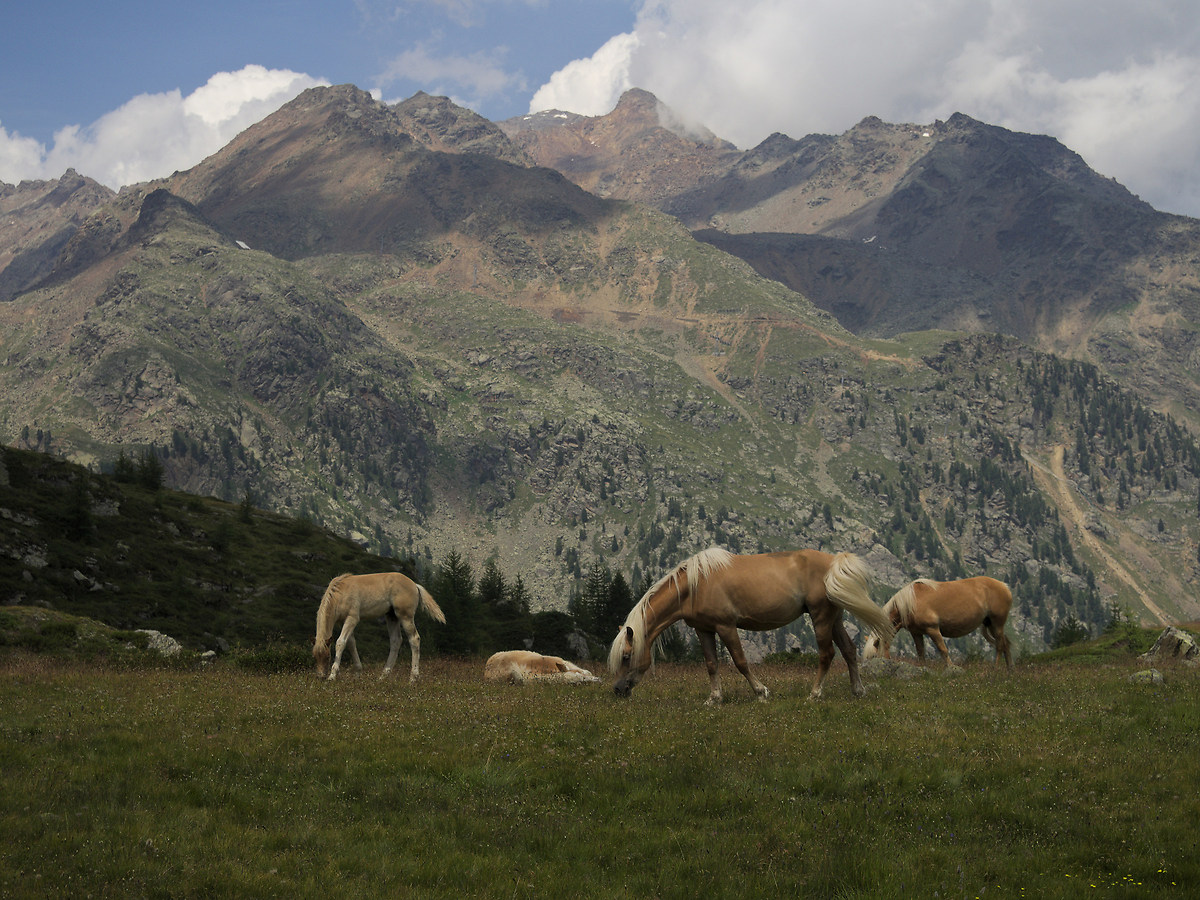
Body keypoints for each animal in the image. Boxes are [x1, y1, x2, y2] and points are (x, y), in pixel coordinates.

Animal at [313, 572, 445, 682]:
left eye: (327, 657)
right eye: (315, 657)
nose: (320, 677)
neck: (340, 593)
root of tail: (414, 585)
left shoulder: (352, 618)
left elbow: (341, 642)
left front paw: (332, 676)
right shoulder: (343, 621)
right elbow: (351, 644)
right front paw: (357, 674)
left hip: (405, 616)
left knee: (414, 639)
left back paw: (413, 678)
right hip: (391, 616)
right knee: (396, 641)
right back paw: (383, 676)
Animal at [608, 547, 894, 703]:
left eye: (626, 656)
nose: (617, 690)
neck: (695, 585)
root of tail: (834, 563)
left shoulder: (726, 626)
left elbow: (740, 661)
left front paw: (760, 691)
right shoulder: (704, 629)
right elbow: (711, 664)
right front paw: (714, 699)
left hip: (821, 616)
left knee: (827, 654)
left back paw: (814, 694)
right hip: (834, 617)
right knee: (848, 650)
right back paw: (857, 690)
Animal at [862, 576, 1013, 668]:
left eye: (873, 656)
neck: (910, 603)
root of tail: (1004, 586)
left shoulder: (933, 629)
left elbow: (943, 650)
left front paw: (951, 667)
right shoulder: (916, 633)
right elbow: (920, 653)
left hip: (997, 624)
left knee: (1000, 645)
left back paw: (995, 668)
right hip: (990, 624)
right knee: (1006, 644)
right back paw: (1009, 670)